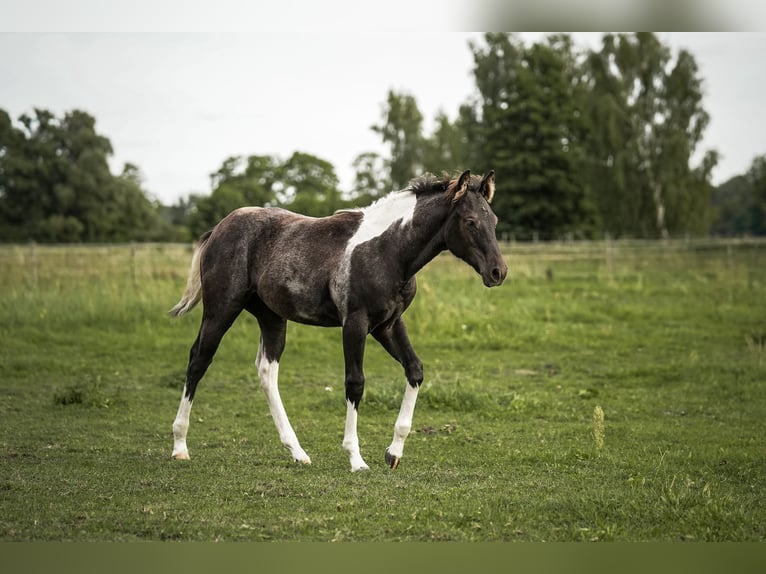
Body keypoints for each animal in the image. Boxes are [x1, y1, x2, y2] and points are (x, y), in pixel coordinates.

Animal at [169, 169, 507, 471]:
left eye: (493, 220)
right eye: (470, 222)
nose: (498, 272)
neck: (389, 251)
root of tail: (219, 228)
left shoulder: (388, 325)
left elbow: (415, 370)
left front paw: (393, 453)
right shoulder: (355, 323)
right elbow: (355, 383)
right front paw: (356, 459)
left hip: (272, 317)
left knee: (267, 372)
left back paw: (298, 452)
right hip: (221, 309)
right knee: (198, 360)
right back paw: (180, 446)